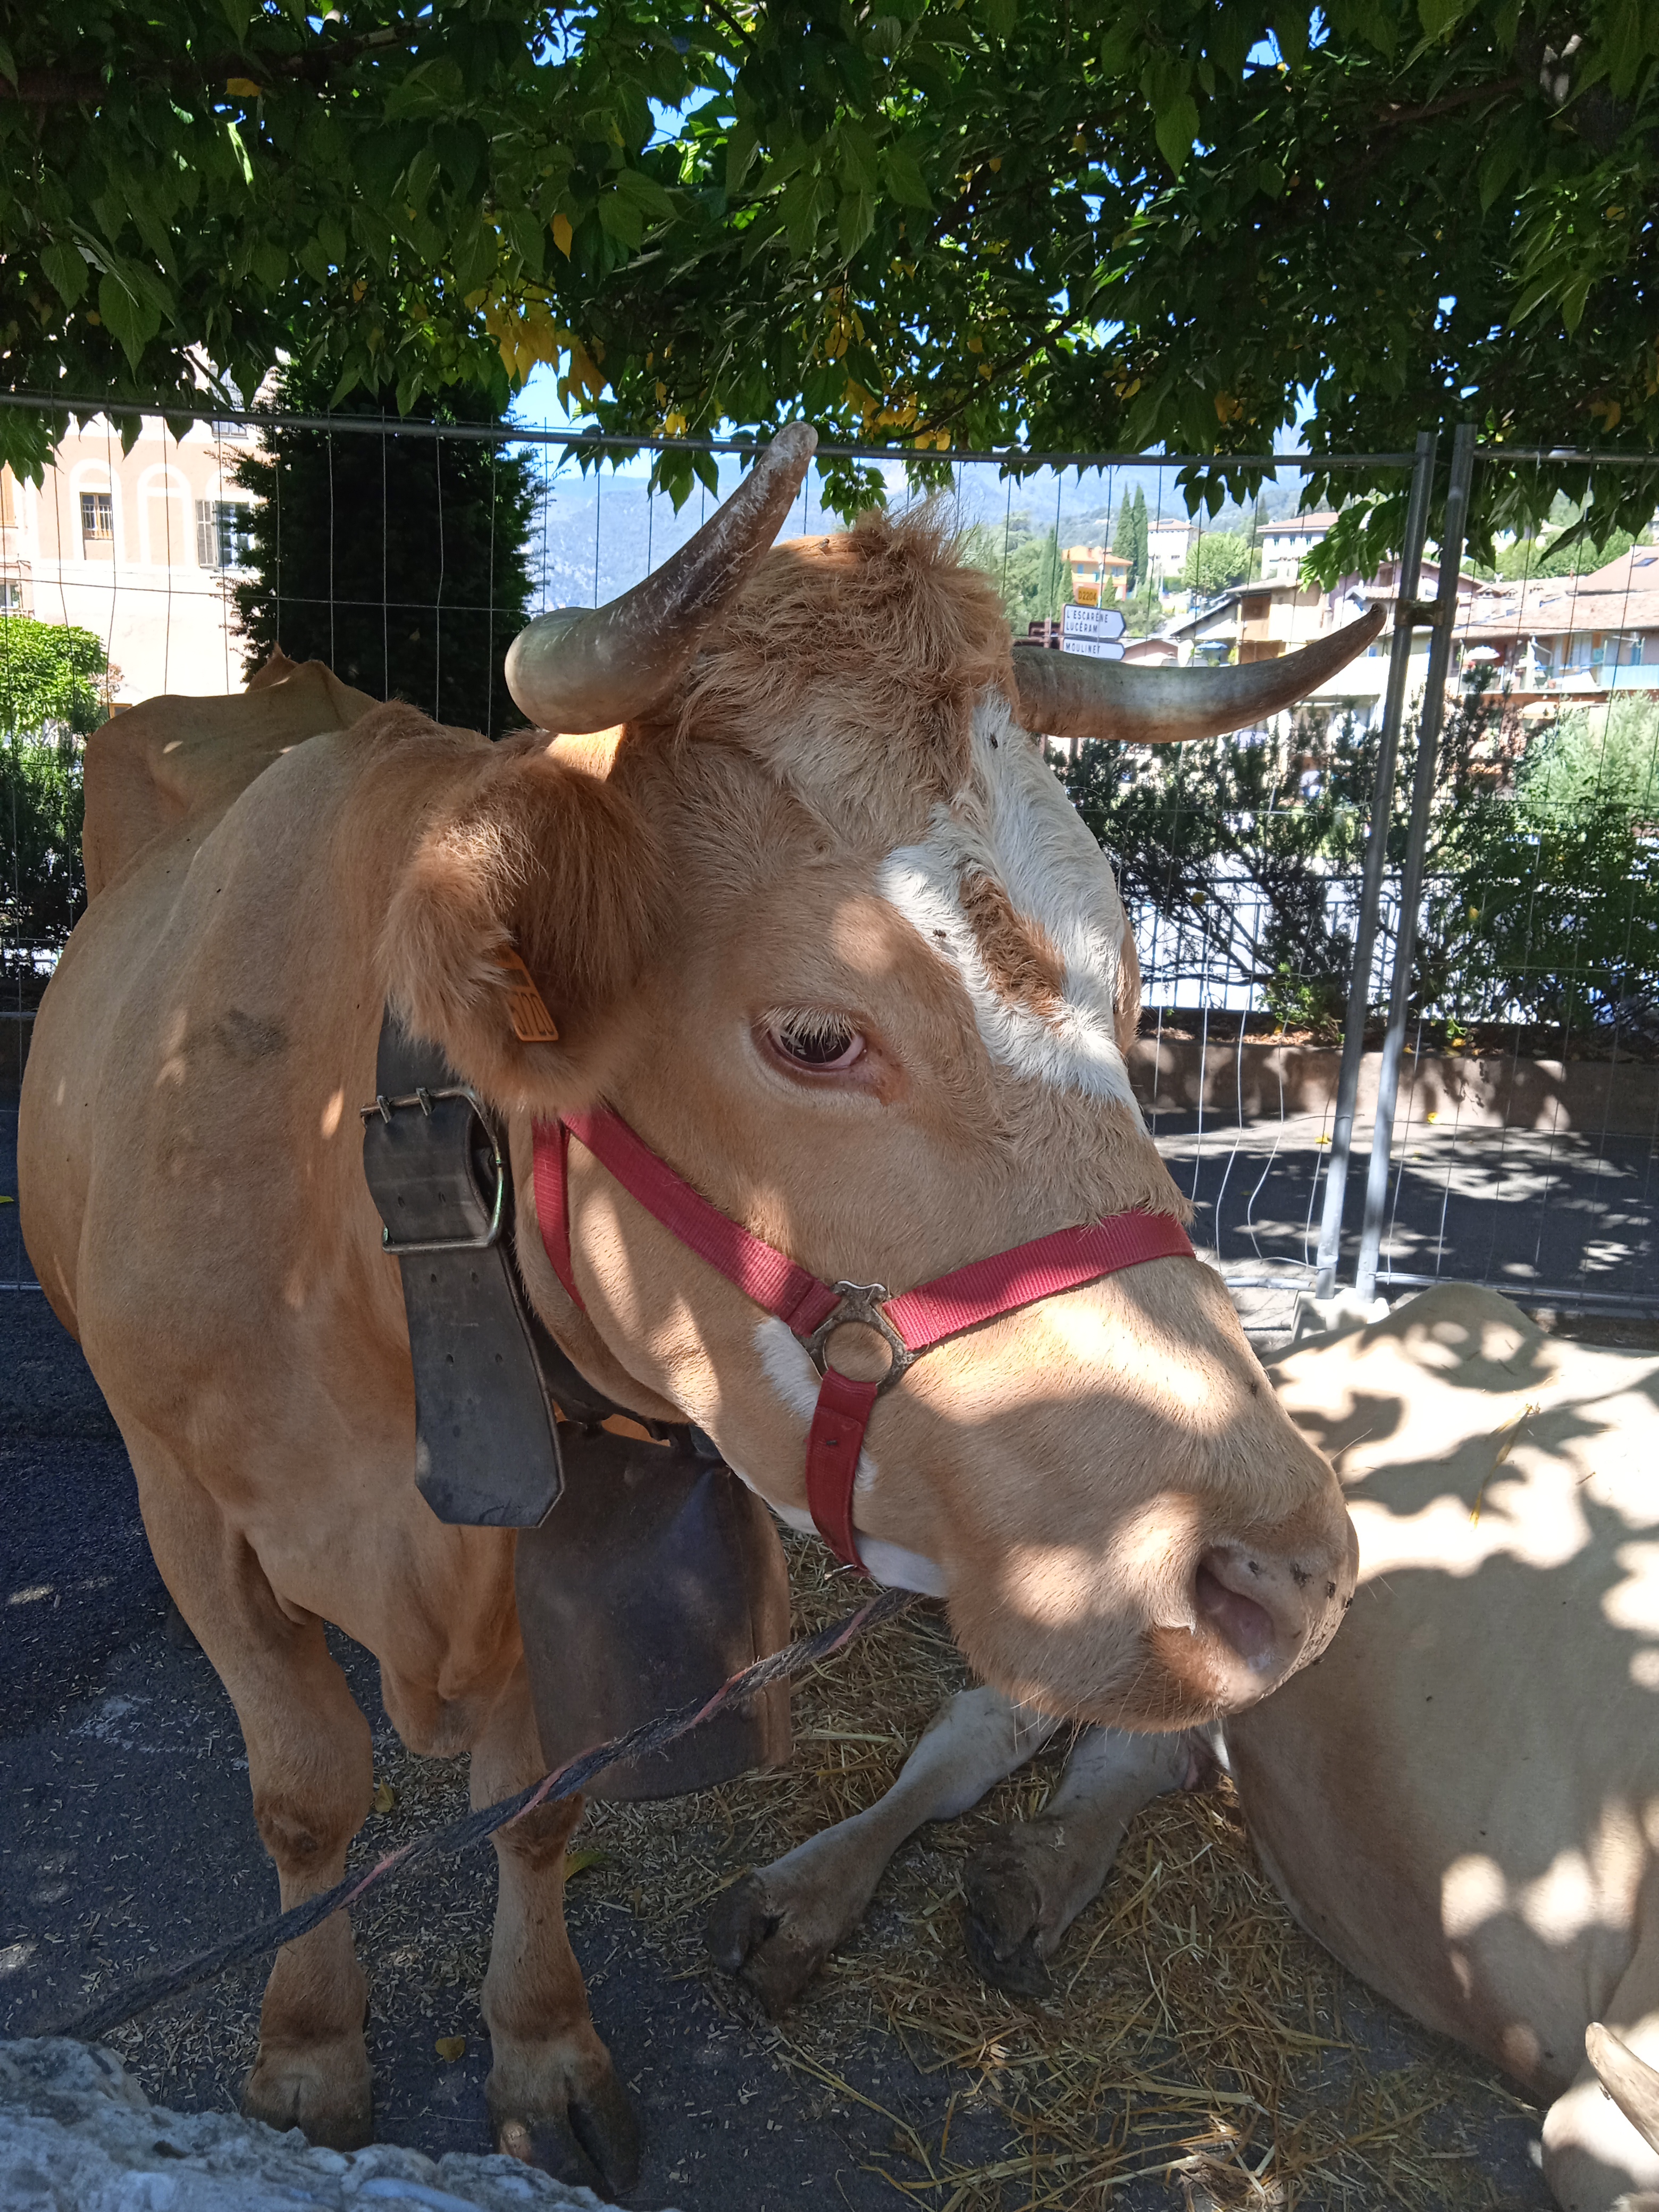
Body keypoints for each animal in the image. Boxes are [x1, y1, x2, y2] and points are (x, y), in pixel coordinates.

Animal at [19, 423, 1378, 2183]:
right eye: (814, 1036)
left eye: (1134, 995)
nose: (1283, 1575)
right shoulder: (189, 1508)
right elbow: (307, 1795)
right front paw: (309, 2052)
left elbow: (539, 1804)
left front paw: (541, 2047)